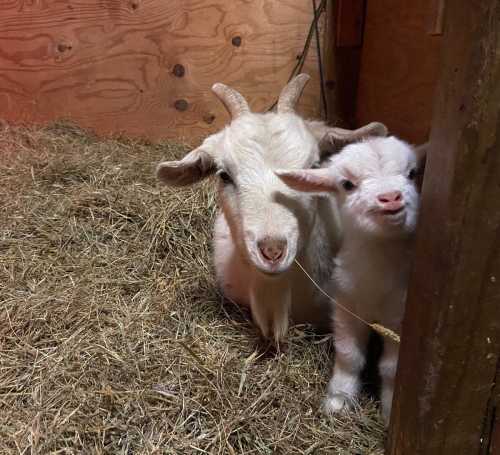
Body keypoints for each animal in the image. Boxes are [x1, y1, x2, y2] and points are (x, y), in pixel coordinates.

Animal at [278, 136, 426, 424]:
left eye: (412, 173)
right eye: (347, 184)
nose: (391, 198)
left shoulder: (398, 320)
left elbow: (391, 369)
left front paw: (389, 410)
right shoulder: (346, 306)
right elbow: (349, 356)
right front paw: (339, 399)